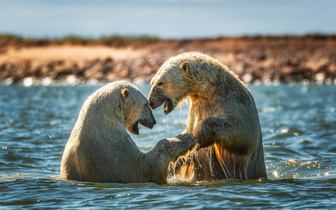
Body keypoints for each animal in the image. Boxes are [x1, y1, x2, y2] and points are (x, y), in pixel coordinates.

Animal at [148, 52, 266, 180]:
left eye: (160, 83)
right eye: (152, 82)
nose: (150, 102)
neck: (214, 90)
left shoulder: (239, 103)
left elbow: (246, 134)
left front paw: (199, 135)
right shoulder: (196, 109)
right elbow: (188, 130)